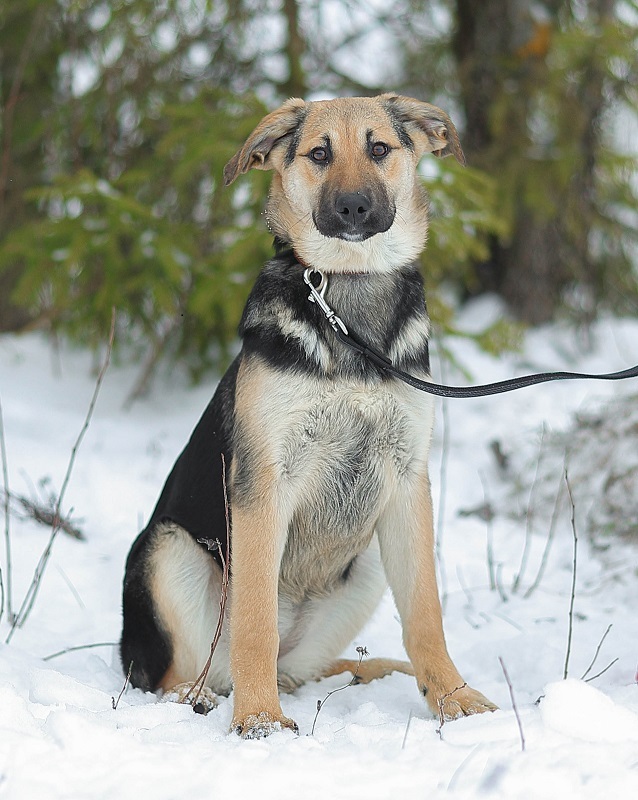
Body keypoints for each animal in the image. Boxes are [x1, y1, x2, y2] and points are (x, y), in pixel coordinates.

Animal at [121, 94, 500, 736]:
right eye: (319, 154)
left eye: (380, 148)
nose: (354, 207)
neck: (348, 300)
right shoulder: (264, 482)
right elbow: (254, 620)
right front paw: (259, 723)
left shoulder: (407, 481)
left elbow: (426, 615)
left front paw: (453, 700)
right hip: (168, 551)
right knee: (184, 676)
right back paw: (210, 701)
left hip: (365, 565)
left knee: (301, 670)